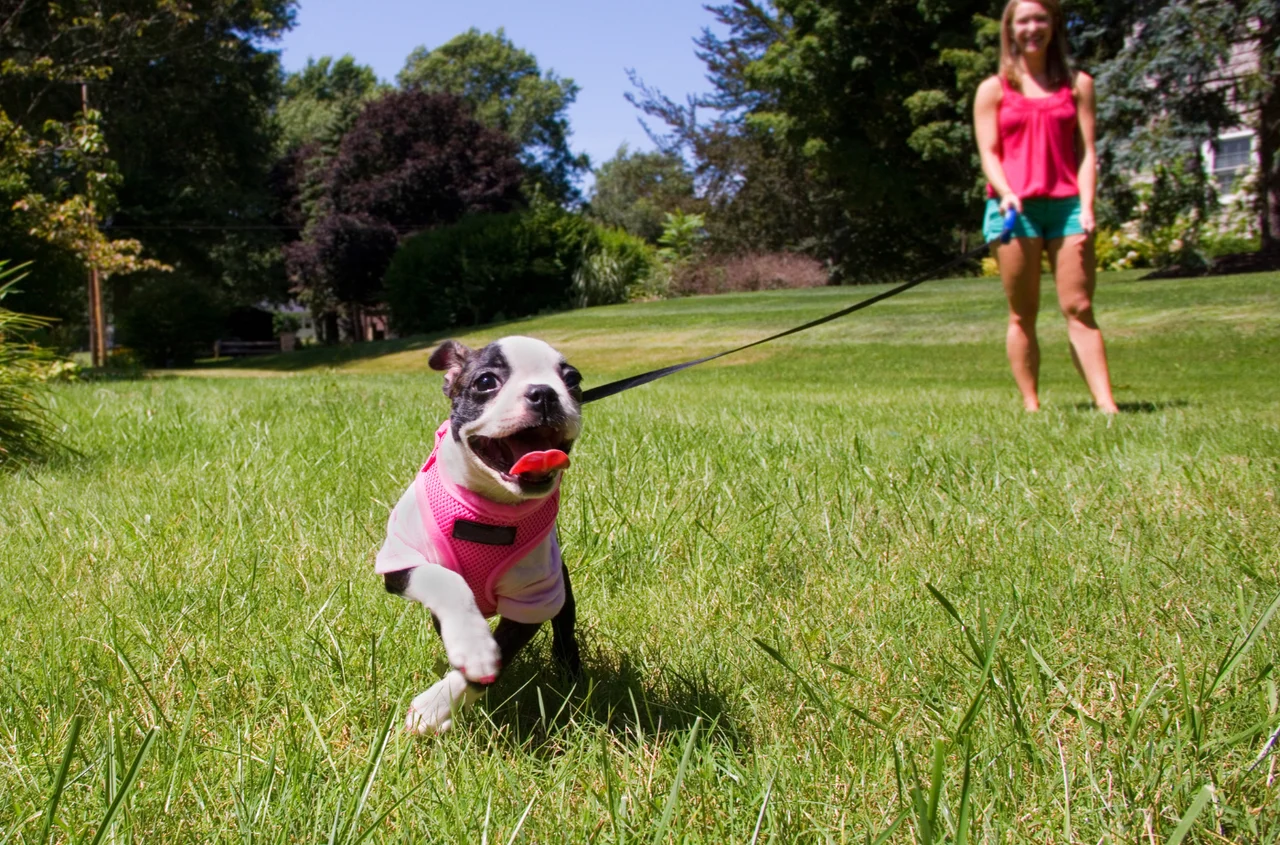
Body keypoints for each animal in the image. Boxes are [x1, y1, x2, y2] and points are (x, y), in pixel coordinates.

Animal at [373, 335, 586, 732]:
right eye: (486, 382)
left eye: (573, 380)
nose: (544, 393)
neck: (488, 509)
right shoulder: (401, 561)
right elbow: (446, 580)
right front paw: (471, 644)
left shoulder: (534, 597)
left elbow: (499, 654)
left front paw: (436, 706)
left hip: (560, 586)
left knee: (565, 628)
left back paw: (571, 673)